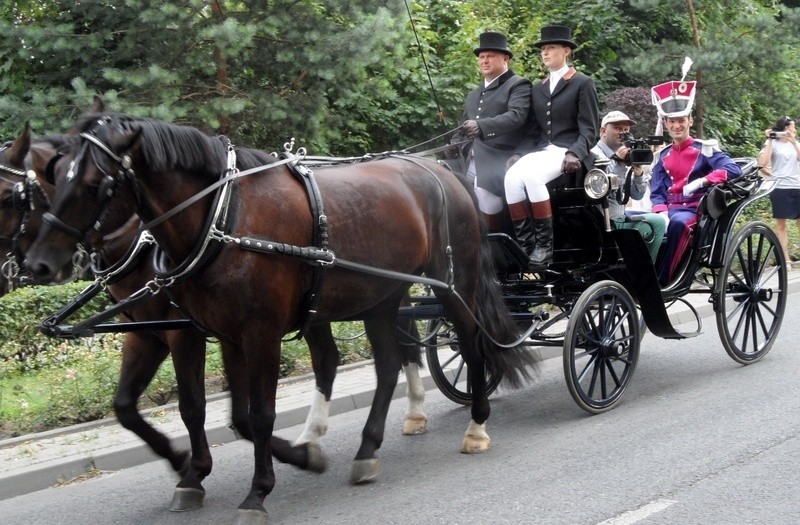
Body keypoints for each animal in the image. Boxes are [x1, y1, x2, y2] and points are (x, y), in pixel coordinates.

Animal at [26, 114, 536, 524]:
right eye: (55, 179)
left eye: (96, 184)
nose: (37, 265)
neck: (224, 216)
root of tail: (440, 170)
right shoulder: (218, 335)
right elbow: (229, 416)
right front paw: (294, 457)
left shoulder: (248, 334)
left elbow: (255, 413)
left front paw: (254, 491)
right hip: (382, 296)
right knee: (389, 364)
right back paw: (367, 446)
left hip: (453, 287)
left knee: (470, 346)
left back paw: (476, 426)